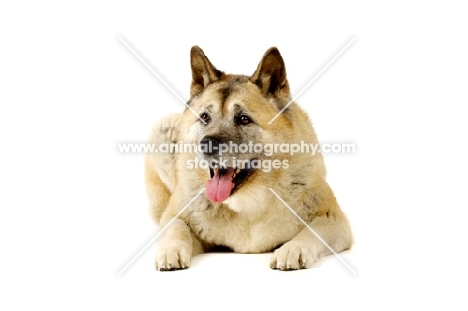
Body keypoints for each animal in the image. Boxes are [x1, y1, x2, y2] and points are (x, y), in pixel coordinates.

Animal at [144, 45, 352, 270]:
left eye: (244, 119)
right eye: (205, 117)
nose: (207, 144)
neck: (246, 202)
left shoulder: (333, 219)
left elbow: (310, 233)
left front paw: (292, 249)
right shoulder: (175, 216)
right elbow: (177, 229)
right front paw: (170, 250)